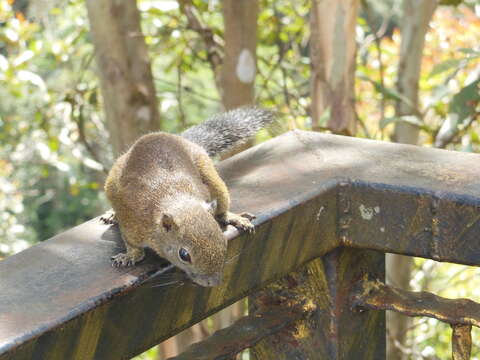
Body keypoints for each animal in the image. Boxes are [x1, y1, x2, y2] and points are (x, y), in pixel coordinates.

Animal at [101, 107, 274, 286]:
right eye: (184, 255)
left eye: (223, 240)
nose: (214, 282)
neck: (177, 201)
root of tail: (177, 138)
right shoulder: (131, 220)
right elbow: (131, 242)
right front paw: (130, 255)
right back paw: (112, 214)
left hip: (210, 175)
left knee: (221, 207)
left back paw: (234, 217)